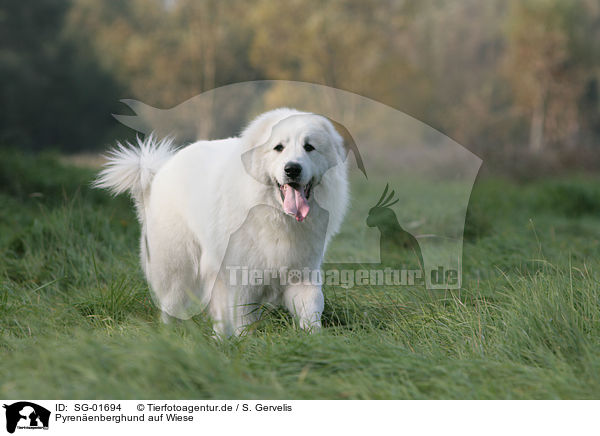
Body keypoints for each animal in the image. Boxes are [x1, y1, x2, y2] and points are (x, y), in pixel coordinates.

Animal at [95, 107, 350, 336]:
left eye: (309, 147)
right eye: (279, 147)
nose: (292, 169)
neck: (274, 215)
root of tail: (159, 172)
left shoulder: (303, 274)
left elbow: (311, 310)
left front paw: (313, 340)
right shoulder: (241, 279)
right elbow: (243, 320)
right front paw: (246, 345)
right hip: (177, 268)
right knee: (170, 307)